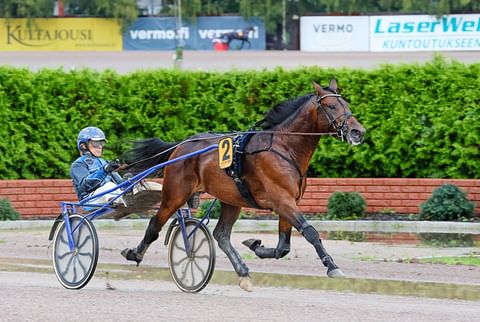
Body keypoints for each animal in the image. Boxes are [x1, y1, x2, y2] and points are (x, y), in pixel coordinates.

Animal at [120, 79, 364, 290]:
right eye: (332, 106)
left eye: (347, 105)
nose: (357, 132)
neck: (284, 147)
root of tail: (181, 145)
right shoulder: (282, 201)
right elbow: (310, 232)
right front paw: (332, 266)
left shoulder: (289, 202)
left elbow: (283, 246)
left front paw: (256, 245)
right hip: (175, 194)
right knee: (155, 223)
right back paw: (135, 253)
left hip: (231, 199)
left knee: (221, 235)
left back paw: (243, 272)